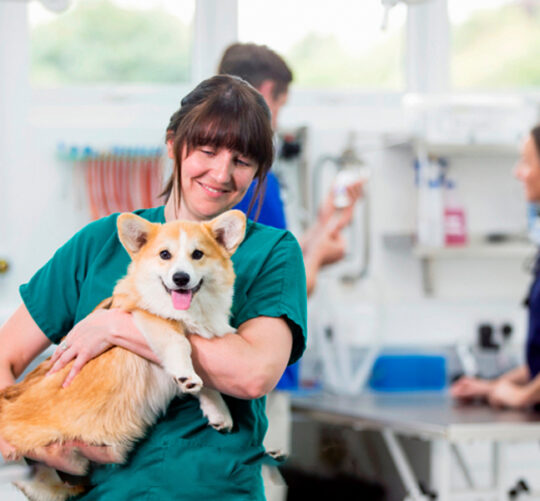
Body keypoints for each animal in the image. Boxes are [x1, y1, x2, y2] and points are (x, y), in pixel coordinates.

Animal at [0, 209, 247, 498]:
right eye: (165, 254)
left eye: (198, 254)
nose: (181, 278)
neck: (194, 310)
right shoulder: (148, 318)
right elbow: (178, 343)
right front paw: (187, 376)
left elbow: (208, 383)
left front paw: (218, 412)